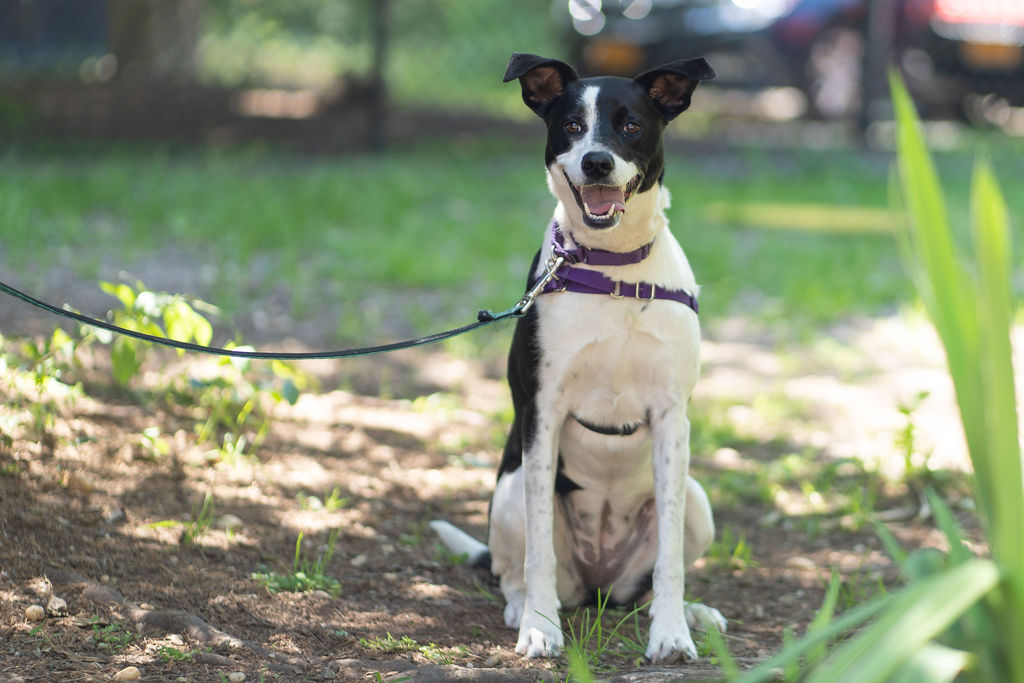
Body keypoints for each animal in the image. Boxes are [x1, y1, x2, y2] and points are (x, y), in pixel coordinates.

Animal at [430, 52, 720, 663]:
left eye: (630, 124)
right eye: (570, 125)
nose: (597, 161)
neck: (613, 271)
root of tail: (597, 585)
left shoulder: (671, 418)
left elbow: (671, 560)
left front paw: (672, 632)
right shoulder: (543, 414)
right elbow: (538, 549)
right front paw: (540, 627)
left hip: (697, 499)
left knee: (648, 582)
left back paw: (689, 611)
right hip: (509, 492)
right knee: (511, 569)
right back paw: (523, 607)